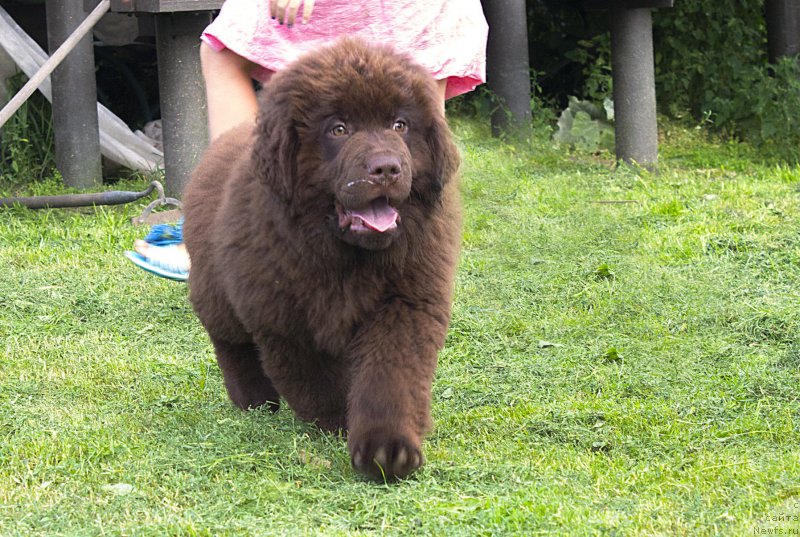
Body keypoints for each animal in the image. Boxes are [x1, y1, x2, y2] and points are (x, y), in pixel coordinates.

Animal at [180, 39, 456, 480]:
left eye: (400, 125)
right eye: (338, 129)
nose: (387, 168)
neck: (348, 258)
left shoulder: (405, 304)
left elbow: (390, 376)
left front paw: (387, 449)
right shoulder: (282, 316)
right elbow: (314, 378)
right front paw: (336, 422)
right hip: (216, 289)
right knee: (230, 342)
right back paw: (253, 398)